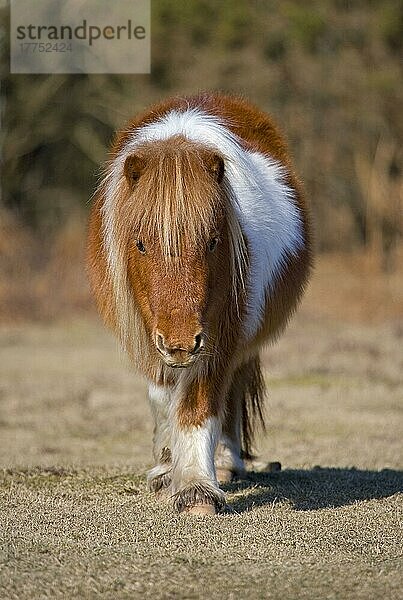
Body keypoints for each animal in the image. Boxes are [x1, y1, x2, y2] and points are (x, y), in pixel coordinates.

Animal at [87, 92, 312, 516]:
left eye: (213, 241)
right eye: (140, 243)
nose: (180, 342)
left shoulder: (218, 337)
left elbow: (199, 405)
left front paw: (196, 490)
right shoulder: (149, 335)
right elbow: (162, 399)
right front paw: (165, 472)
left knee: (229, 395)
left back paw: (224, 464)